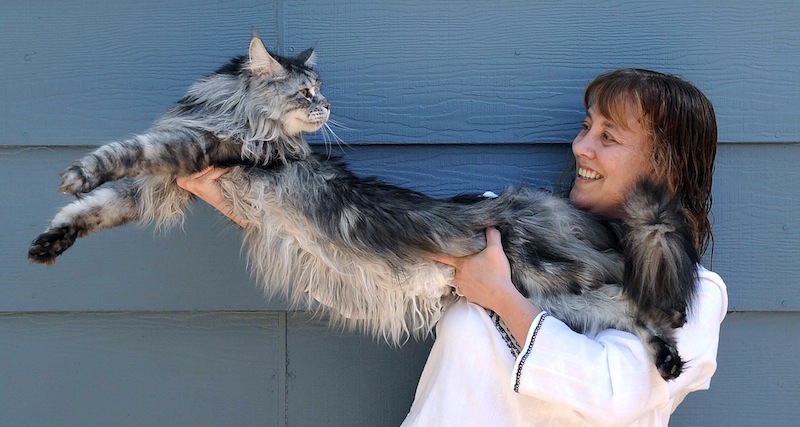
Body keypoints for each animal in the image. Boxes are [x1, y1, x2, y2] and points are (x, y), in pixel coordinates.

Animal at [28, 33, 696, 382]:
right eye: (306, 92)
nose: (325, 108)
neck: (232, 111)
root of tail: (552, 208)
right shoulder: (161, 185)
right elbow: (96, 209)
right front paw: (49, 241)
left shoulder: (198, 150)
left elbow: (125, 152)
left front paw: (75, 172)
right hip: (563, 302)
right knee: (638, 316)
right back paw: (668, 361)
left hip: (558, 279)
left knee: (649, 302)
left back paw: (671, 353)